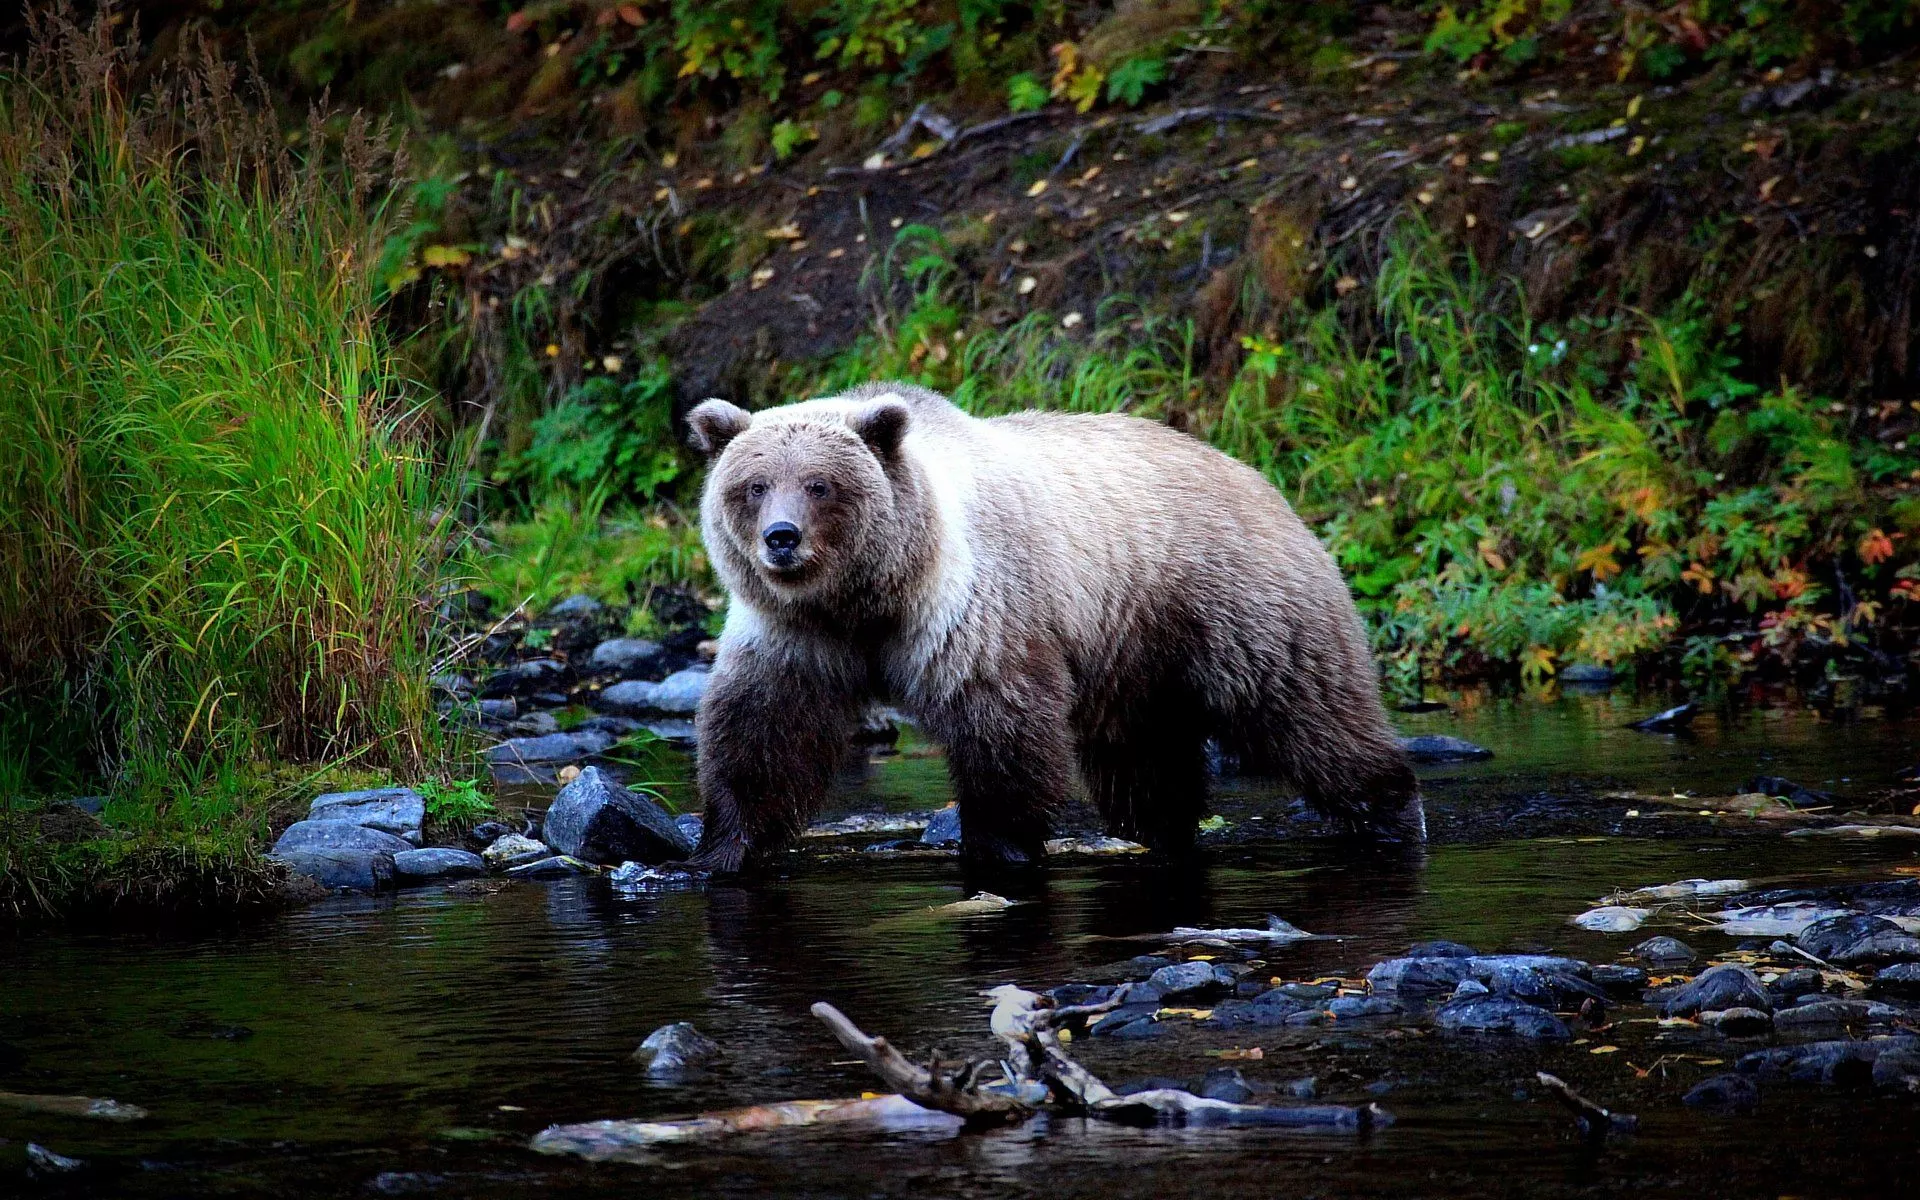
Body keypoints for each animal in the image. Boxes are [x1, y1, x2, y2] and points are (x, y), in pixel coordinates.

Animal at [682, 381, 1422, 871]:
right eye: (752, 486)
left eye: (819, 485)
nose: (781, 539)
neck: (867, 601)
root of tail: (1257, 475)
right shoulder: (794, 636)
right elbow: (761, 736)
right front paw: (723, 849)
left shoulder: (969, 613)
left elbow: (1002, 728)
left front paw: (999, 848)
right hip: (1135, 653)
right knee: (1144, 763)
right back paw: (1165, 830)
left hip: (1233, 602)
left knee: (1307, 712)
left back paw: (1390, 812)